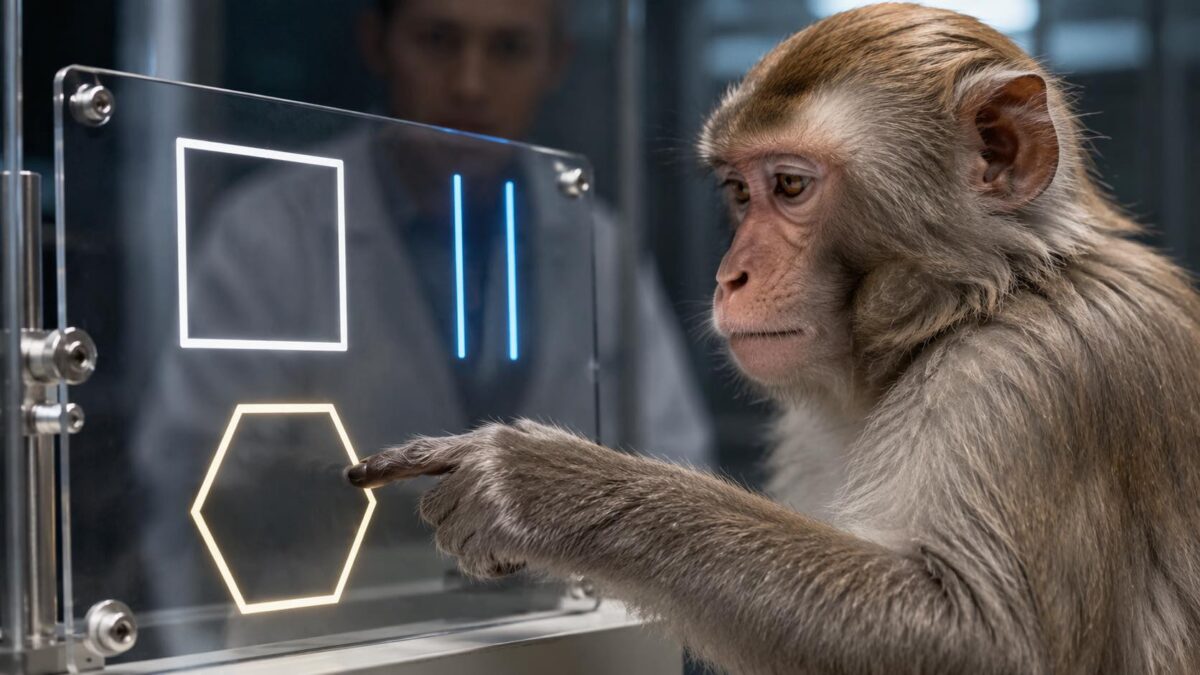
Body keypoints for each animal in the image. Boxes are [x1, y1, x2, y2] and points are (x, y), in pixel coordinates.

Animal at [345, 4, 1200, 673]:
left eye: (789, 186)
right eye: (737, 190)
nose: (730, 275)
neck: (976, 298)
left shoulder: (1037, 378)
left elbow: (982, 637)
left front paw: (540, 485)